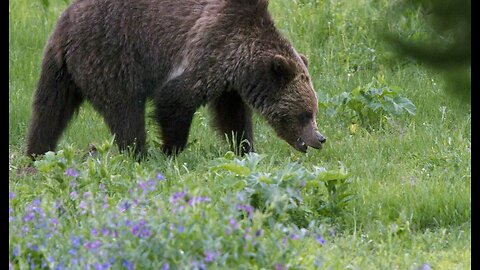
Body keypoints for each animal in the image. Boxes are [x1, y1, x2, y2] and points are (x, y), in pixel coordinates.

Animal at [25, 0, 326, 157]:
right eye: (305, 113)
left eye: (313, 110)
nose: (319, 138)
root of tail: (64, 25)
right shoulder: (210, 47)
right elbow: (175, 98)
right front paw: (172, 150)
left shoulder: (228, 83)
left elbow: (232, 116)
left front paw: (244, 148)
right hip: (111, 55)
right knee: (125, 111)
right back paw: (139, 153)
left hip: (60, 71)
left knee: (49, 111)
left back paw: (37, 152)